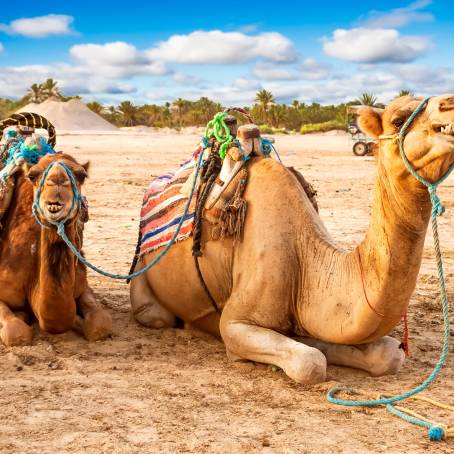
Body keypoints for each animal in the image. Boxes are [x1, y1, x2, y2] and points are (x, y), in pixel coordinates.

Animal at [0, 154, 112, 346]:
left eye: (82, 175)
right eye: (32, 175)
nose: (58, 180)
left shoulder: (82, 285)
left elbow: (100, 324)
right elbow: (15, 333)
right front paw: (23, 316)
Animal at [130, 96, 454, 384]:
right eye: (398, 120)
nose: (449, 105)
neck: (305, 251)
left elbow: (388, 354)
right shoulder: (235, 324)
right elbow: (310, 362)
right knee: (156, 314)